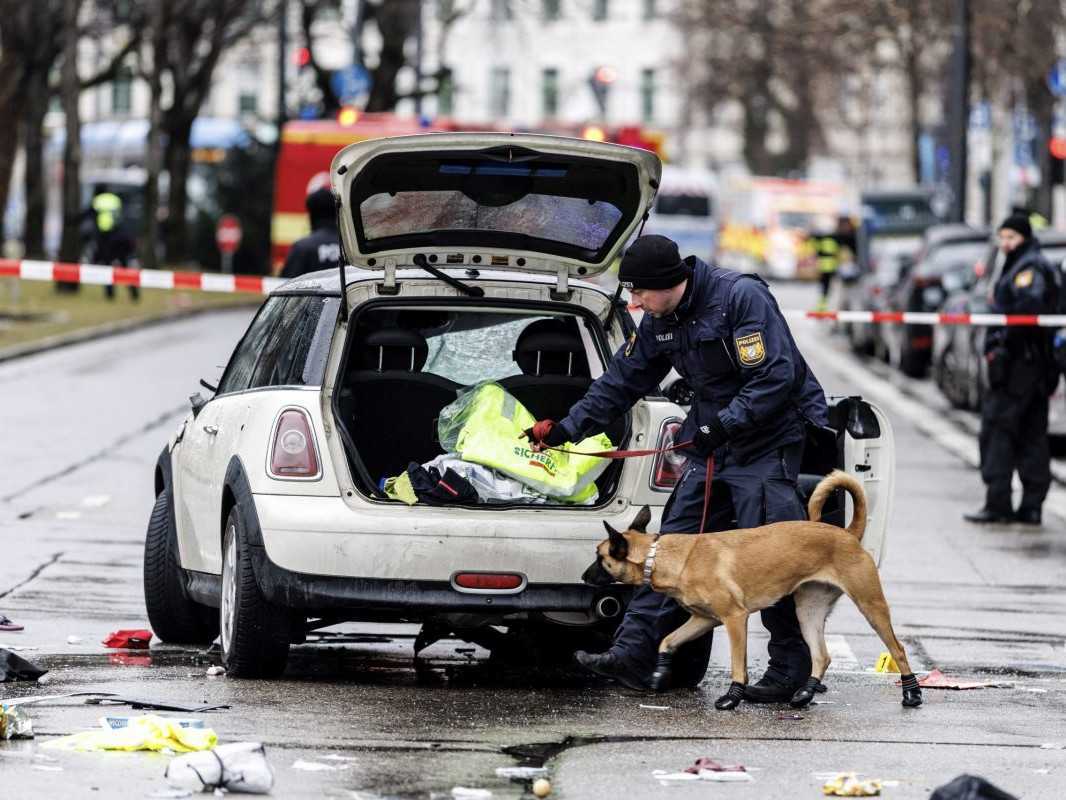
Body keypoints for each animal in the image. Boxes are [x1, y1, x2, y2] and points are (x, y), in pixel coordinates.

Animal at [579, 473, 921, 712]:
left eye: (599, 558)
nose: (583, 576)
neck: (662, 556)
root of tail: (847, 533)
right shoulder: (703, 620)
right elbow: (666, 640)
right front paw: (660, 673)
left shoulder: (735, 618)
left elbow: (737, 664)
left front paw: (732, 698)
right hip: (807, 611)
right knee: (822, 656)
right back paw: (805, 692)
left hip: (871, 606)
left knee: (899, 649)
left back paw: (912, 692)